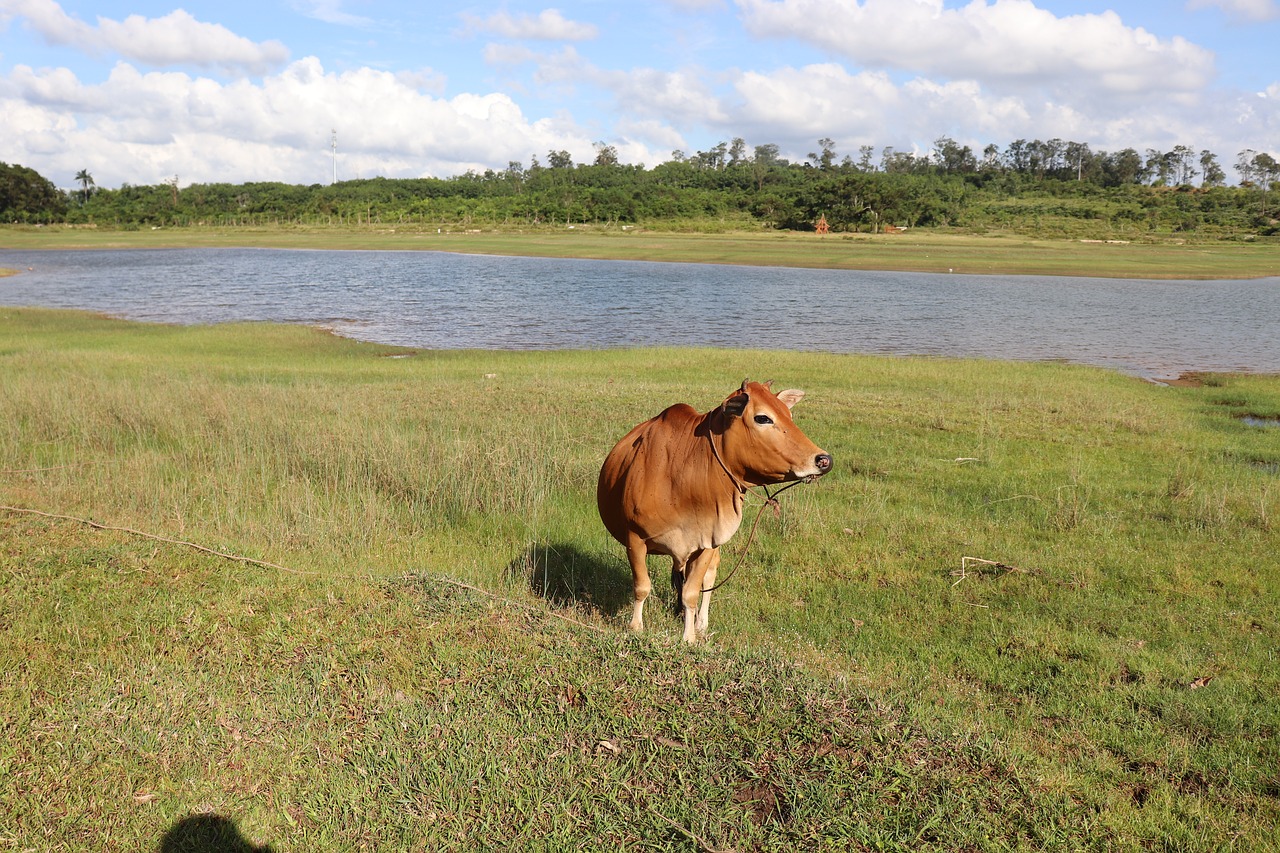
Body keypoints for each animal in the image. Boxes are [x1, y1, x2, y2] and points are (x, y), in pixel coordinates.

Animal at [596, 379, 834, 637]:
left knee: (707, 580)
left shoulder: (708, 542)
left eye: (789, 415)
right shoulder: (635, 538)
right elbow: (642, 587)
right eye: (763, 418)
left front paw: (689, 636)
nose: (824, 460)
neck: (684, 477)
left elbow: (692, 592)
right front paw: (636, 627)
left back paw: (701, 622)